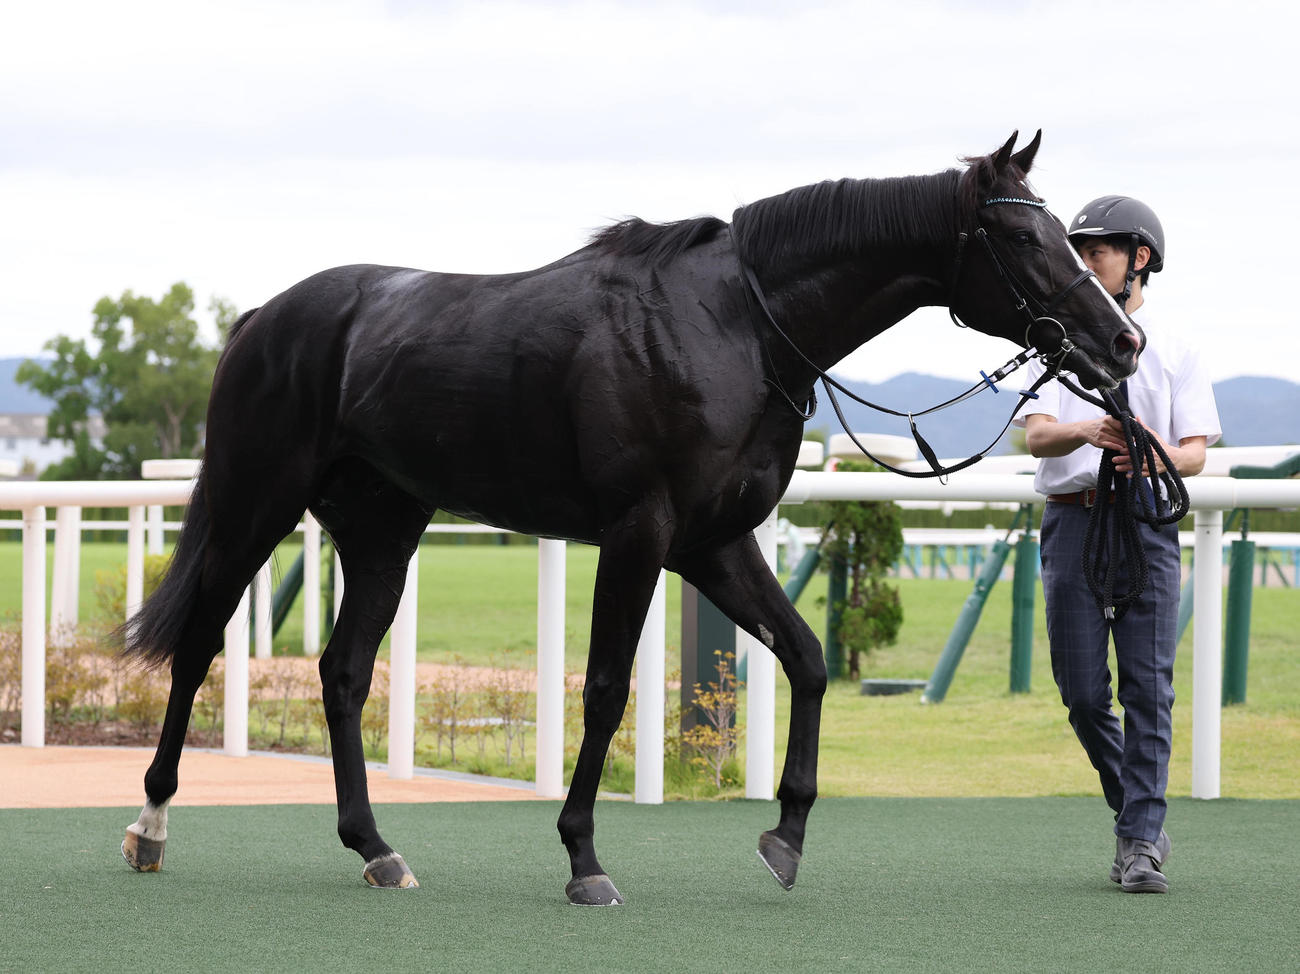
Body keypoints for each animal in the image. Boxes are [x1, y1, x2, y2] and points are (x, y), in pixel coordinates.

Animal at [120, 130, 1140, 905]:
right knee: (201, 647)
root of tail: (265, 316)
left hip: (383, 530)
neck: (735, 325)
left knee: (342, 673)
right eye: (1021, 237)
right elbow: (609, 688)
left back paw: (376, 848)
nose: (1123, 341)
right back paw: (152, 822)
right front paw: (584, 858)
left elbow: (808, 661)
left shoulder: (714, 544)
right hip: (254, 504)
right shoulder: (639, 535)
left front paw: (786, 836)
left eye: (1062, 232)